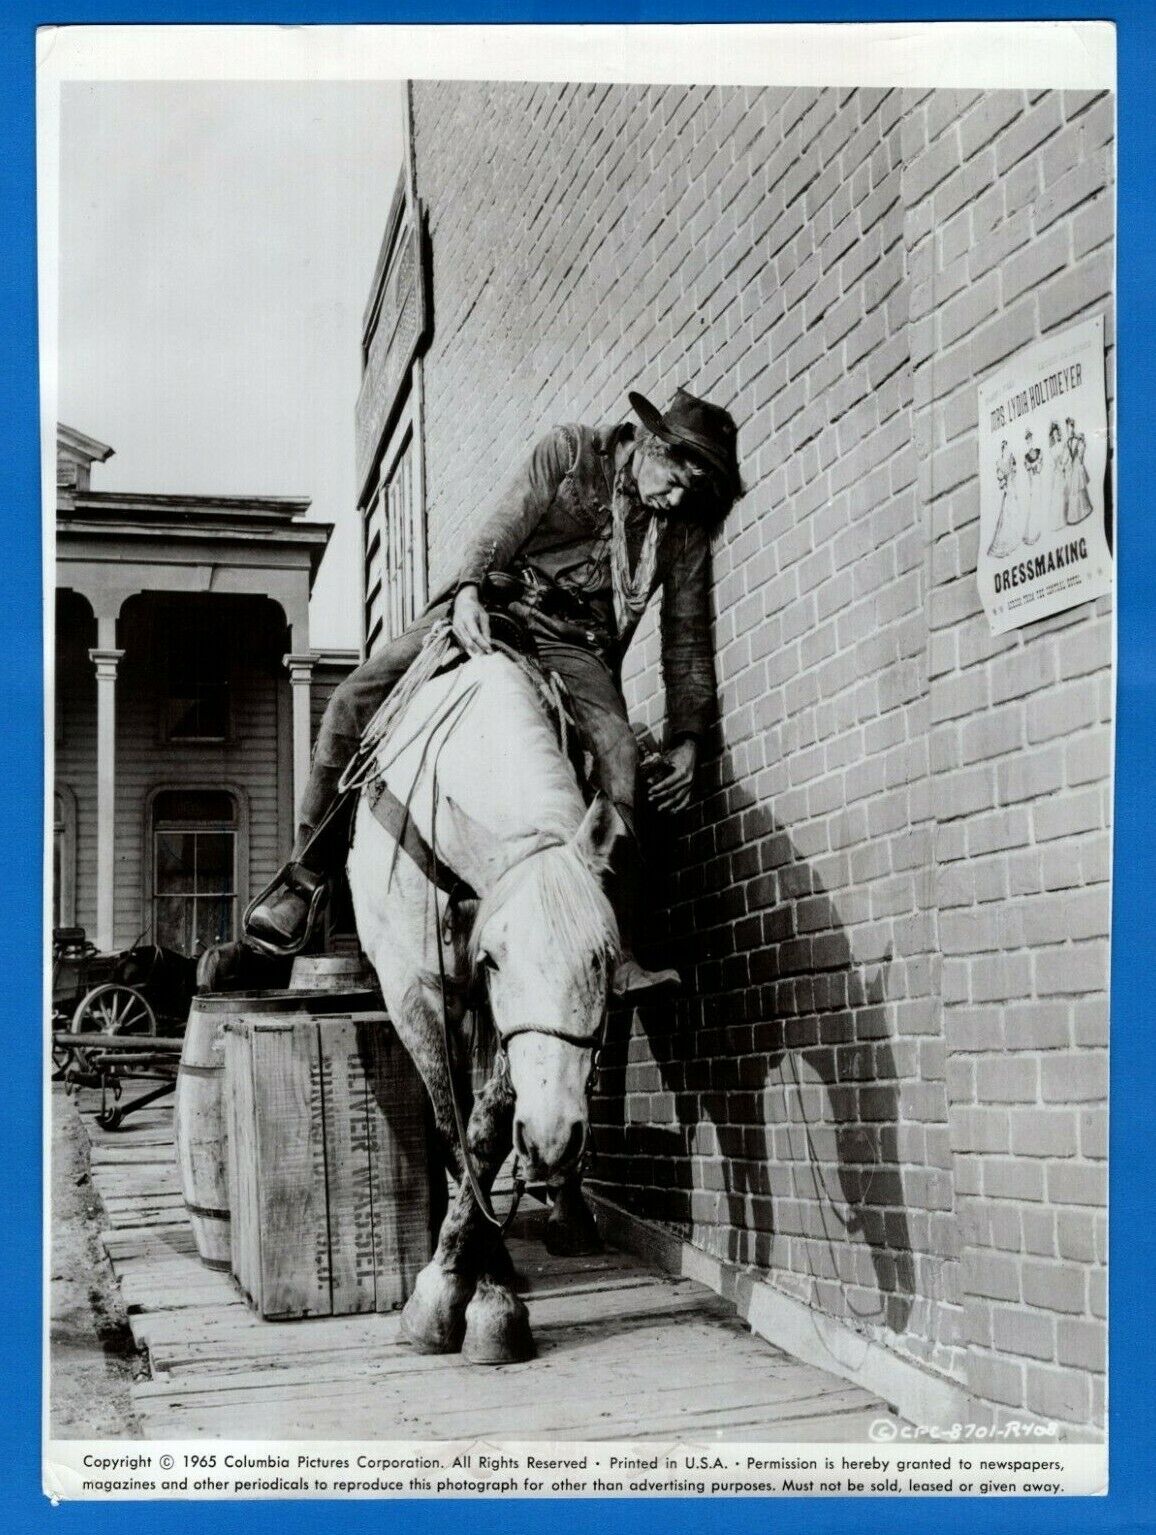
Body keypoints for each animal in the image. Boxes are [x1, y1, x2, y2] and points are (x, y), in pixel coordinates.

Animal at [346, 647, 617, 1369]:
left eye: (605, 957)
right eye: (494, 958)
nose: (554, 1137)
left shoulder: (502, 1031)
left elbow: (489, 1129)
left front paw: (487, 1298)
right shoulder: (416, 992)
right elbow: (454, 1128)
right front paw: (449, 1289)